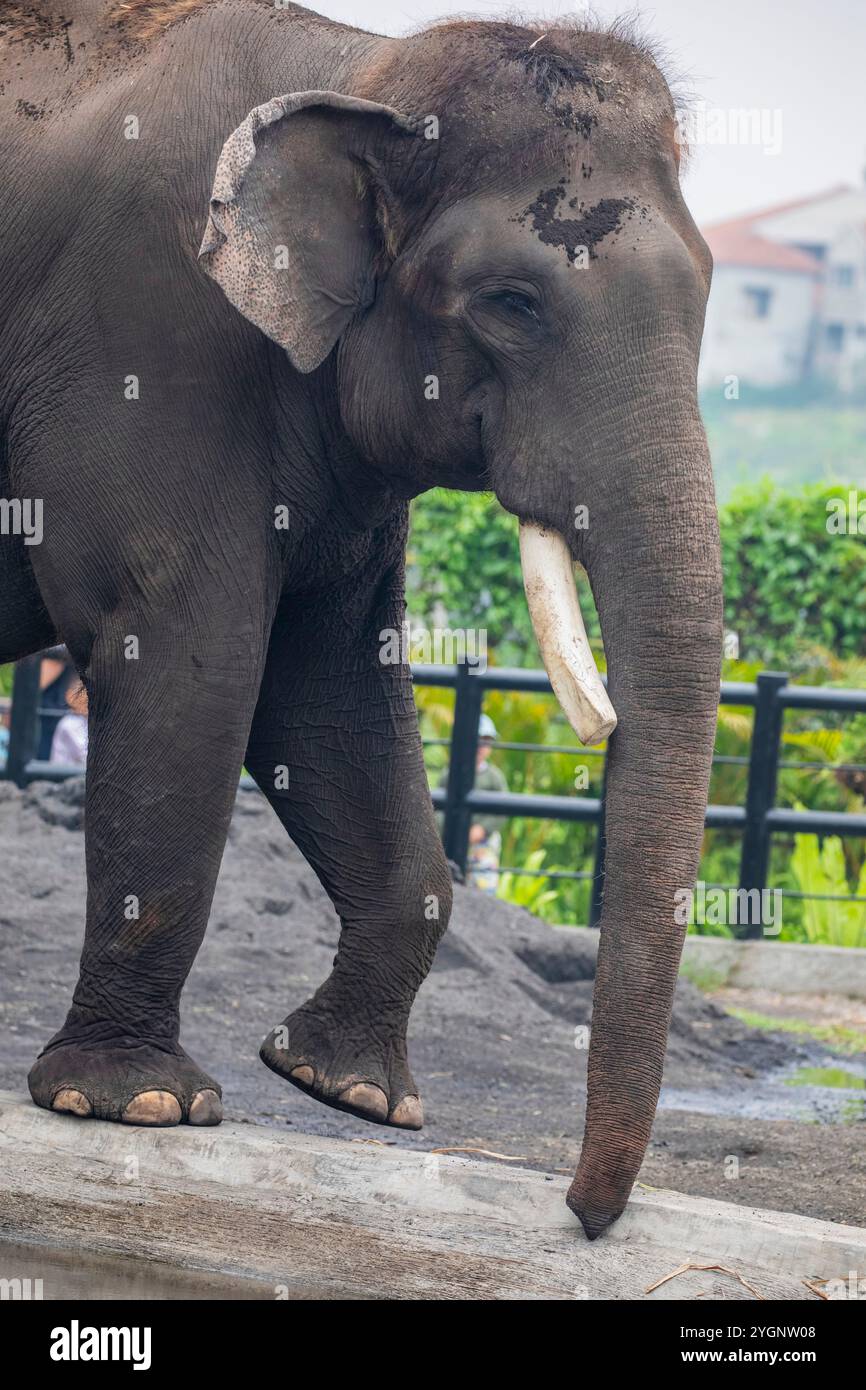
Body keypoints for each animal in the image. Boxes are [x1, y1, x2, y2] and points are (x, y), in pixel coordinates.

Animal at [0, 0, 722, 1239]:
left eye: (711, 293)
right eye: (511, 303)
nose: (579, 1215)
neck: (363, 68)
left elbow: (327, 687)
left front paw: (347, 1090)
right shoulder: (145, 345)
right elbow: (194, 659)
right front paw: (134, 1105)